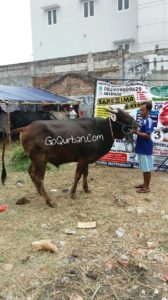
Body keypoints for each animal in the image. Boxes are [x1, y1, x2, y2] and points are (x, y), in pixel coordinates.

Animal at [0, 106, 138, 207]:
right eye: (125, 116)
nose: (137, 125)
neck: (100, 129)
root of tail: (26, 127)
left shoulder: (87, 159)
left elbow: (85, 174)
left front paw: (86, 189)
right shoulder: (82, 159)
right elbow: (77, 175)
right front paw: (72, 193)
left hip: (35, 159)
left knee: (31, 172)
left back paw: (40, 192)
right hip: (40, 159)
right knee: (39, 177)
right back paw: (49, 201)